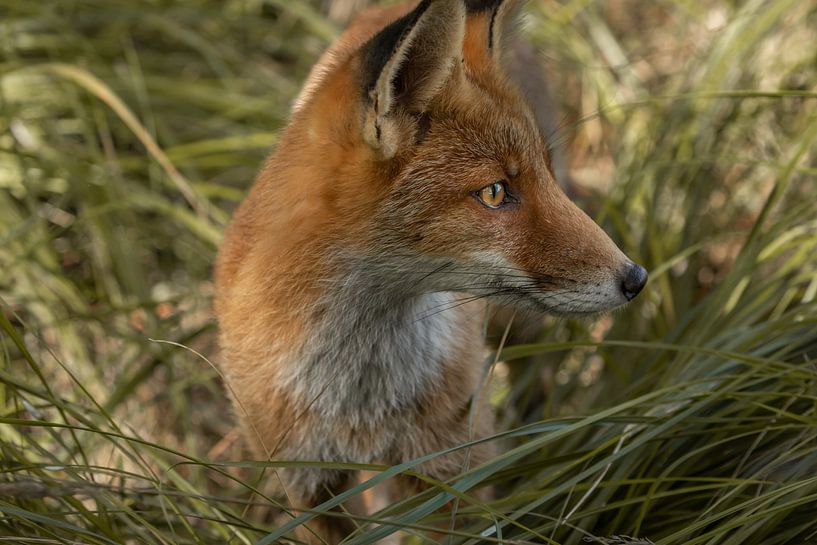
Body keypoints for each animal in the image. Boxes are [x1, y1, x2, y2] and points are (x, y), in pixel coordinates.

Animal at [214, 0, 648, 543]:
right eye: (495, 192)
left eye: (543, 175)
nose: (636, 278)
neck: (362, 395)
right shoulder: (307, 482)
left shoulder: (451, 468)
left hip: (520, 329)